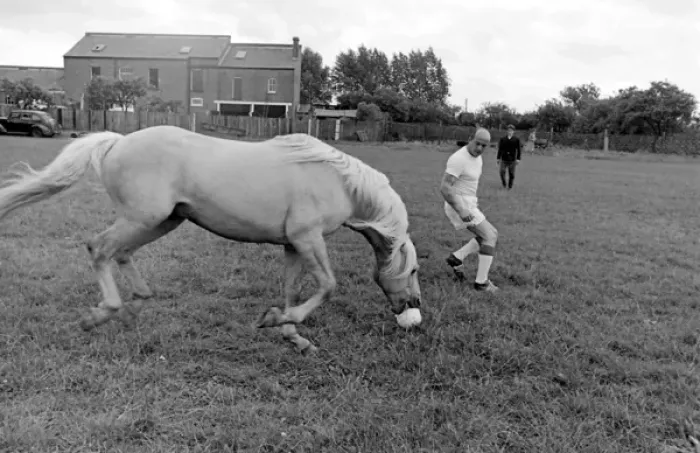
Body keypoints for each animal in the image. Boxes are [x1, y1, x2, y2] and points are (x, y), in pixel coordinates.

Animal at [0, 125, 422, 354]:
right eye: (415, 270)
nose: (414, 313)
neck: (338, 180)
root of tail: (118, 142)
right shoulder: (308, 239)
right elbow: (328, 286)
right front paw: (278, 322)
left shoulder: (293, 245)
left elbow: (292, 290)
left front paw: (291, 334)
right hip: (145, 217)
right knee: (99, 248)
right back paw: (99, 315)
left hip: (163, 220)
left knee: (121, 253)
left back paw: (136, 306)